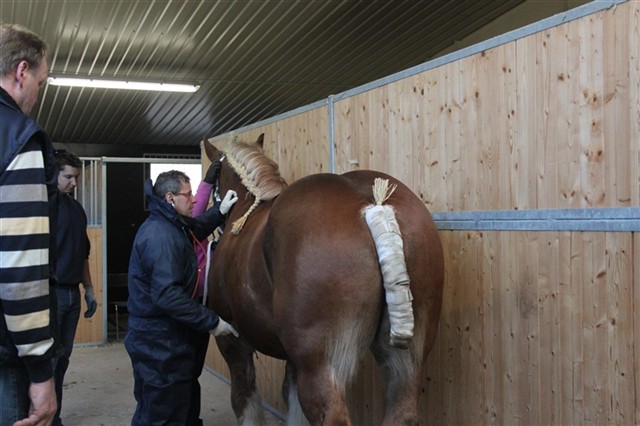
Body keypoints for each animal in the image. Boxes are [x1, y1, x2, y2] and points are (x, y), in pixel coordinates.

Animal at [205, 134, 444, 426]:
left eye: (212, 174)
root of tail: (374, 207)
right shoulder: (291, 358)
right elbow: (291, 401)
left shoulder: (233, 343)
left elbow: (244, 399)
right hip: (406, 359)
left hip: (320, 365)